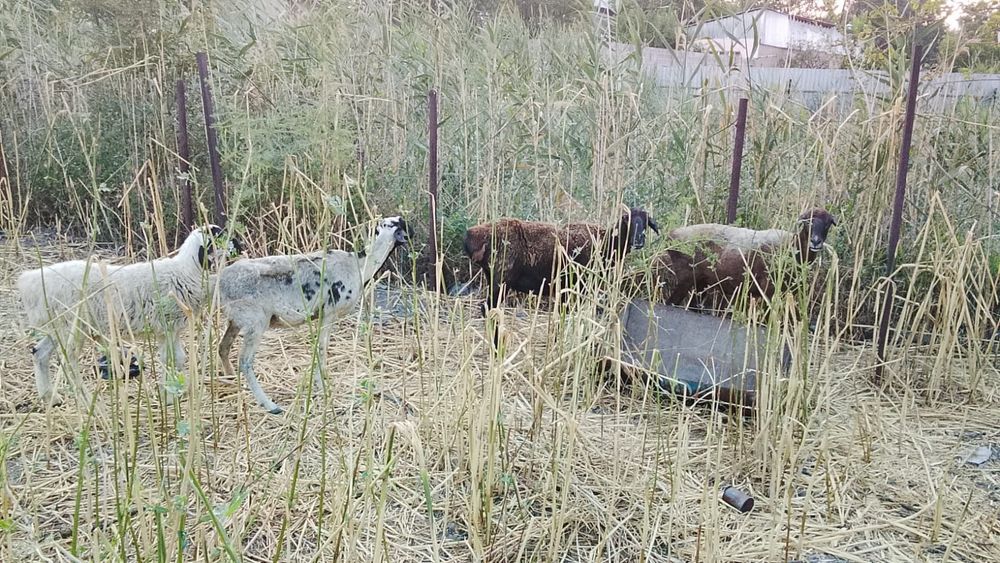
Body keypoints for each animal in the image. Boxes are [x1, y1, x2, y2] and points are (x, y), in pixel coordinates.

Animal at [217, 216, 409, 414]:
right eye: (399, 226)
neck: (360, 265)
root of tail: (218, 282)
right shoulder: (329, 313)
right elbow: (322, 349)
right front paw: (321, 383)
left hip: (237, 319)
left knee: (223, 347)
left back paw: (231, 380)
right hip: (255, 321)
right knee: (245, 361)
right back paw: (270, 405)